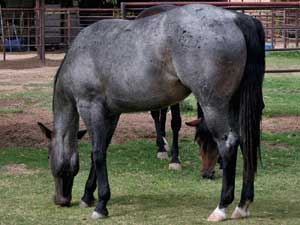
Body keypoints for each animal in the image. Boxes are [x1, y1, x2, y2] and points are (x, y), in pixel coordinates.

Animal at [38, 4, 264, 222]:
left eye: (48, 154)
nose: (60, 200)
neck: (79, 56)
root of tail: (235, 18)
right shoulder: (111, 115)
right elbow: (101, 151)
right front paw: (87, 196)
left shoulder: (91, 109)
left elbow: (98, 153)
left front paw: (101, 205)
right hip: (234, 106)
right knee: (246, 141)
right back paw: (243, 205)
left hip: (214, 106)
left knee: (229, 144)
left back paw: (221, 207)